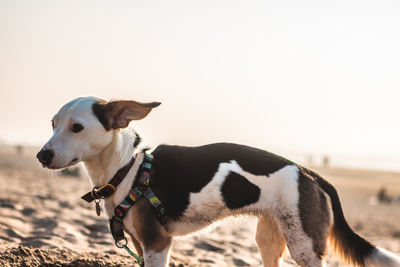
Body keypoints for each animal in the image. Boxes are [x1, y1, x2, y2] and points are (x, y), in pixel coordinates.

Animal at [37, 97, 400, 266]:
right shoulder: (140, 243)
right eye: (53, 124)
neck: (127, 168)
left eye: (77, 127)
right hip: (271, 237)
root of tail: (309, 172)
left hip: (305, 246)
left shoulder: (157, 243)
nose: (41, 156)